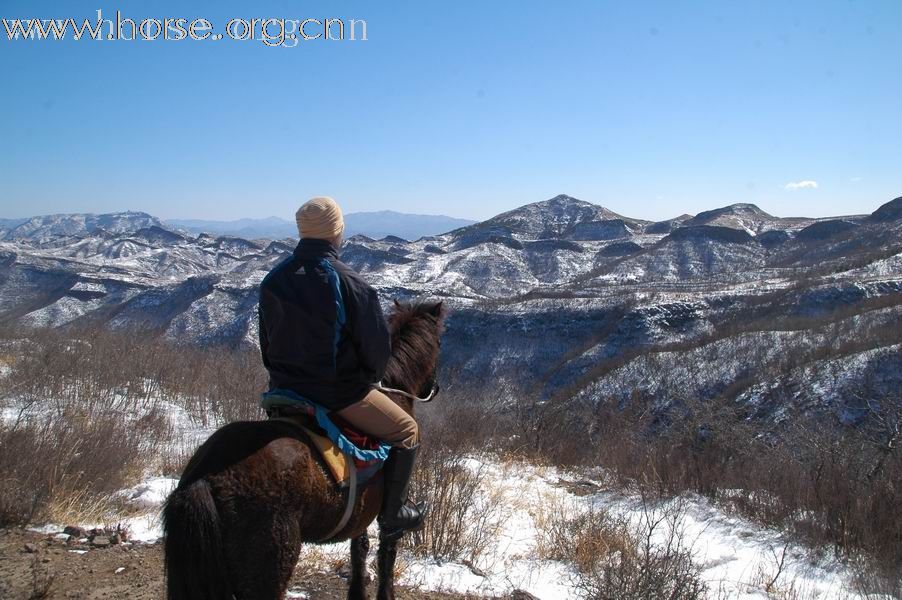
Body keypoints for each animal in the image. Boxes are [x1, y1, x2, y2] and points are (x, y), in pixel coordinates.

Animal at [163, 300, 448, 600]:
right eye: (440, 341)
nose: (435, 387)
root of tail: (204, 477)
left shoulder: (361, 511)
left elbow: (359, 549)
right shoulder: (387, 518)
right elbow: (386, 553)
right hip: (270, 563)